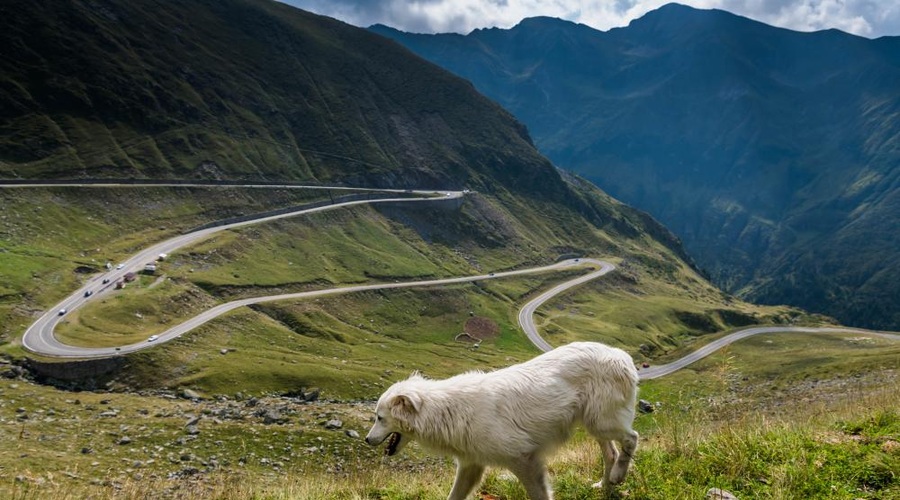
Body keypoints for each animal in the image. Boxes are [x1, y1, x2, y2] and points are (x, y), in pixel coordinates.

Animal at [366, 344, 640, 500]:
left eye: (379, 418)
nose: (368, 440)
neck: (445, 410)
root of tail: (621, 354)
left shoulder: (525, 461)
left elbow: (539, 495)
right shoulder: (471, 466)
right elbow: (454, 496)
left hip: (601, 422)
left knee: (631, 438)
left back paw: (618, 476)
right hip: (595, 424)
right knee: (611, 453)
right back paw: (605, 485)